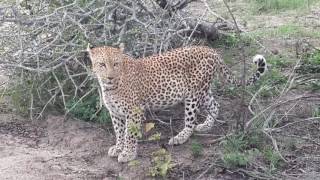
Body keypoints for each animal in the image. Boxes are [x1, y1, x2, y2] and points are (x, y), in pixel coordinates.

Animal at [87, 45, 268, 163]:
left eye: (116, 64)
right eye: (102, 64)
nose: (110, 77)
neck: (110, 87)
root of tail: (211, 50)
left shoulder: (134, 111)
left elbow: (129, 134)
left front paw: (128, 154)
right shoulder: (115, 112)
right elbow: (119, 132)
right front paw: (118, 148)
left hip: (193, 94)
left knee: (190, 121)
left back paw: (179, 138)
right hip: (202, 91)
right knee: (215, 105)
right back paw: (206, 126)